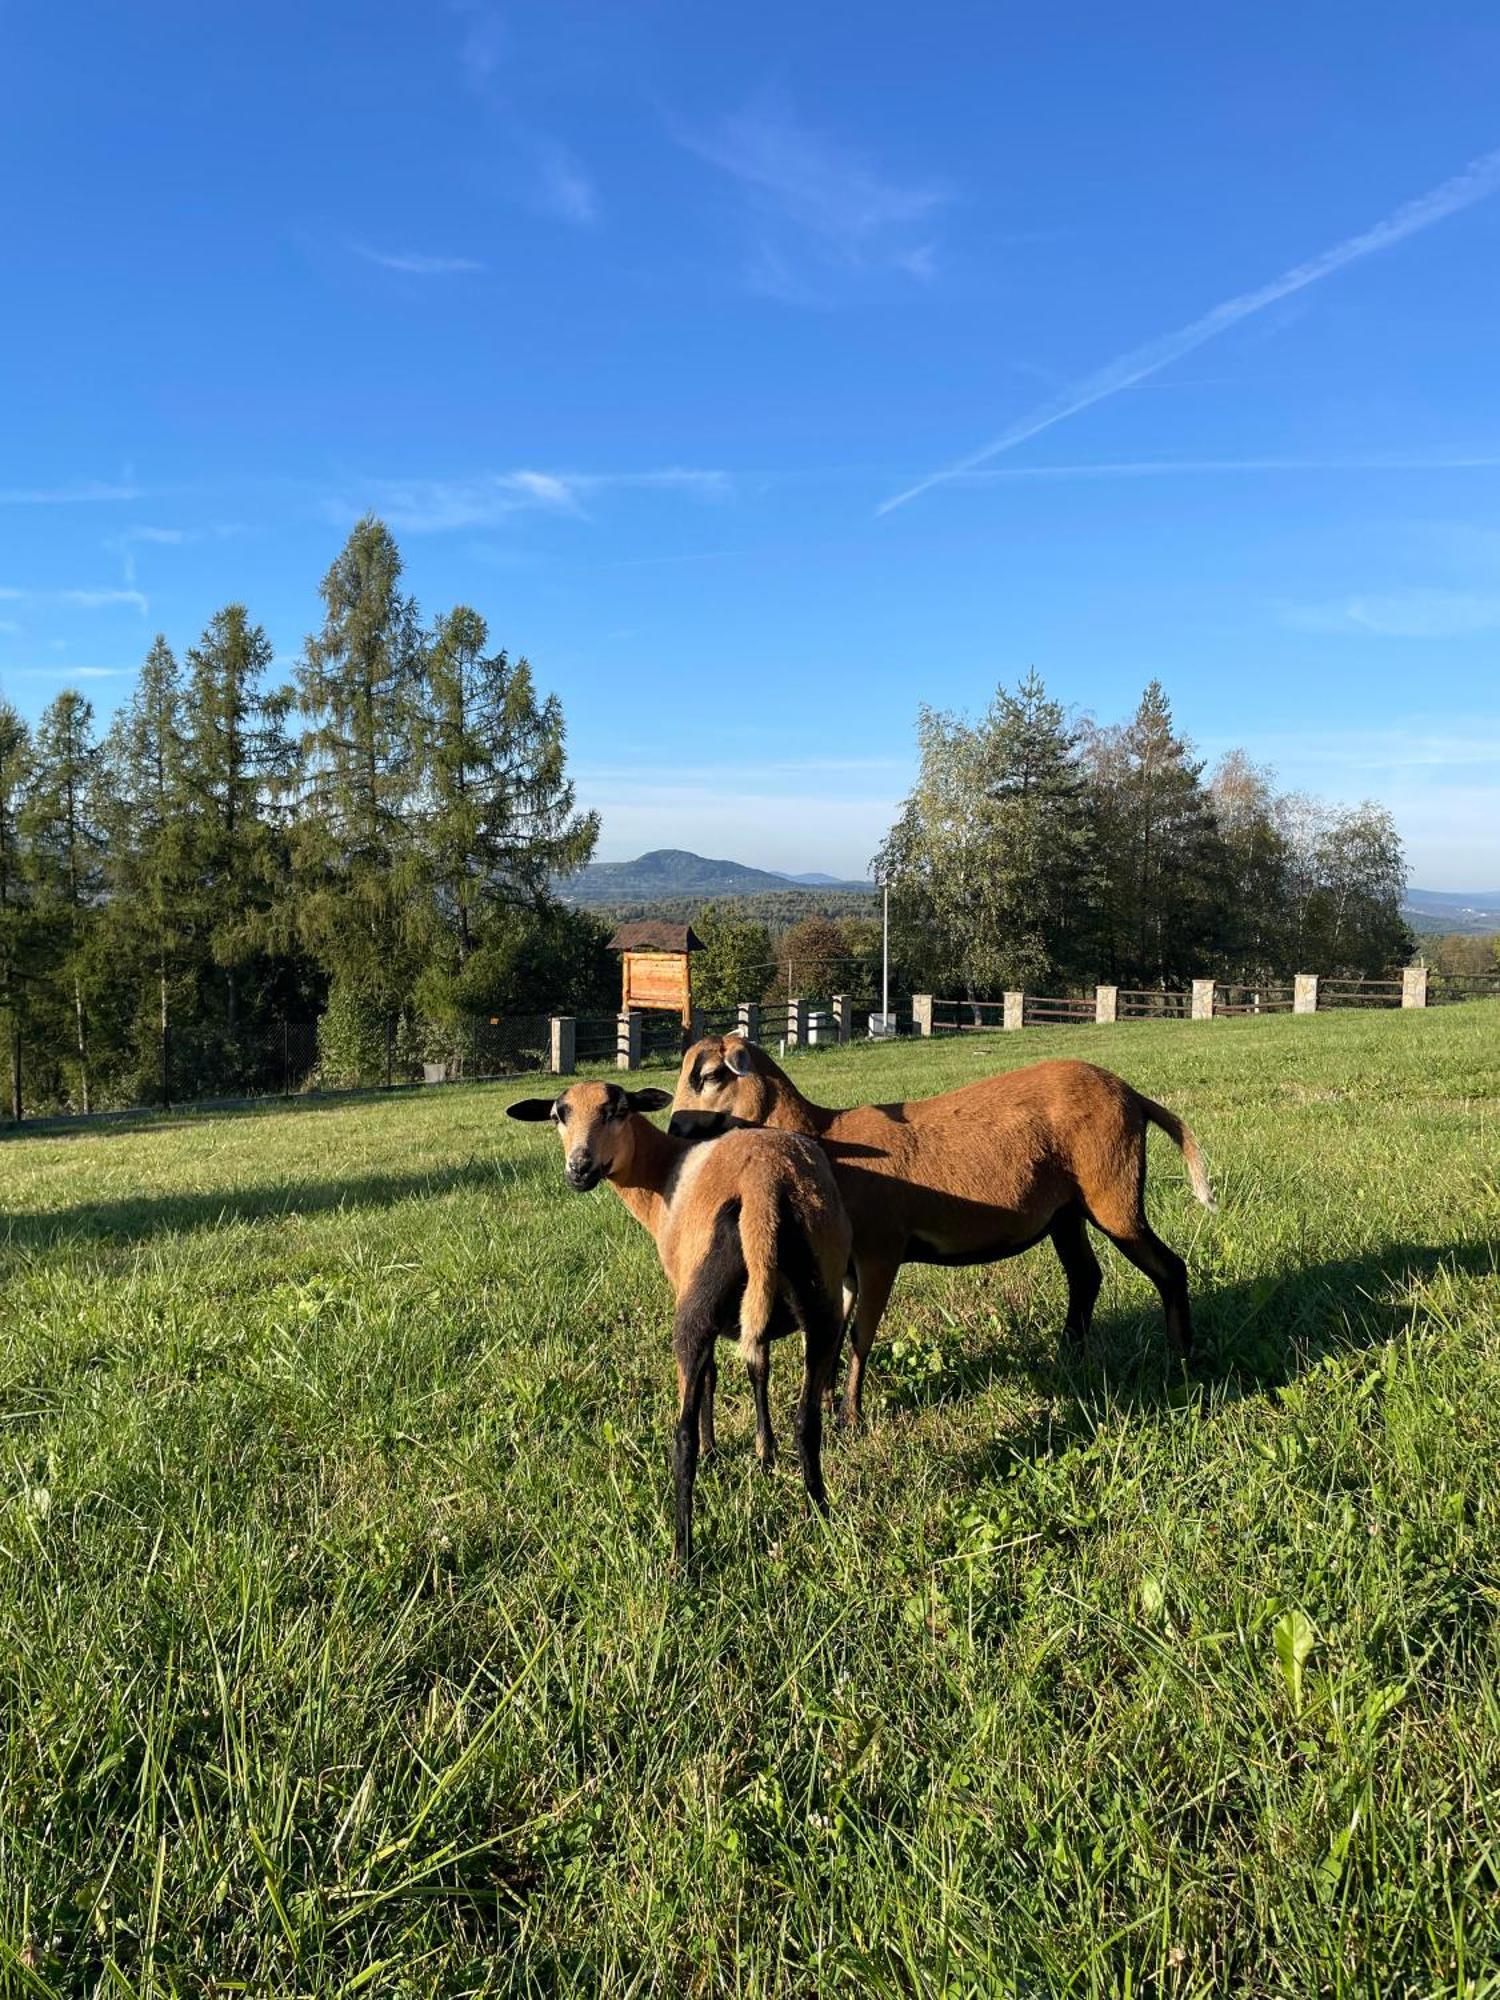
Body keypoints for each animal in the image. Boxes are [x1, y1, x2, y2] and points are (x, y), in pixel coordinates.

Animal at [512, 1080, 852, 1560]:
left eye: (617, 1110)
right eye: (559, 1115)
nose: (579, 1169)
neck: (661, 1176)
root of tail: (763, 1191)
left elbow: (711, 1377)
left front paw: (716, 1450)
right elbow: (759, 1369)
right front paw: (765, 1452)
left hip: (695, 1309)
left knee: (682, 1434)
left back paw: (683, 1553)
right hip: (822, 1299)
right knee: (807, 1420)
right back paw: (819, 1512)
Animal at [676, 1032, 1216, 1424]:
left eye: (709, 1075)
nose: (677, 1128)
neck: (826, 1138)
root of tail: (1134, 1097)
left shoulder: (881, 1250)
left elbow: (860, 1336)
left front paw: (851, 1418)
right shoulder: (846, 1266)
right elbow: (833, 1333)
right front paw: (826, 1405)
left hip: (1114, 1195)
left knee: (1170, 1269)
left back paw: (1183, 1361)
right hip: (1066, 1212)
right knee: (1086, 1277)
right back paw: (1070, 1357)